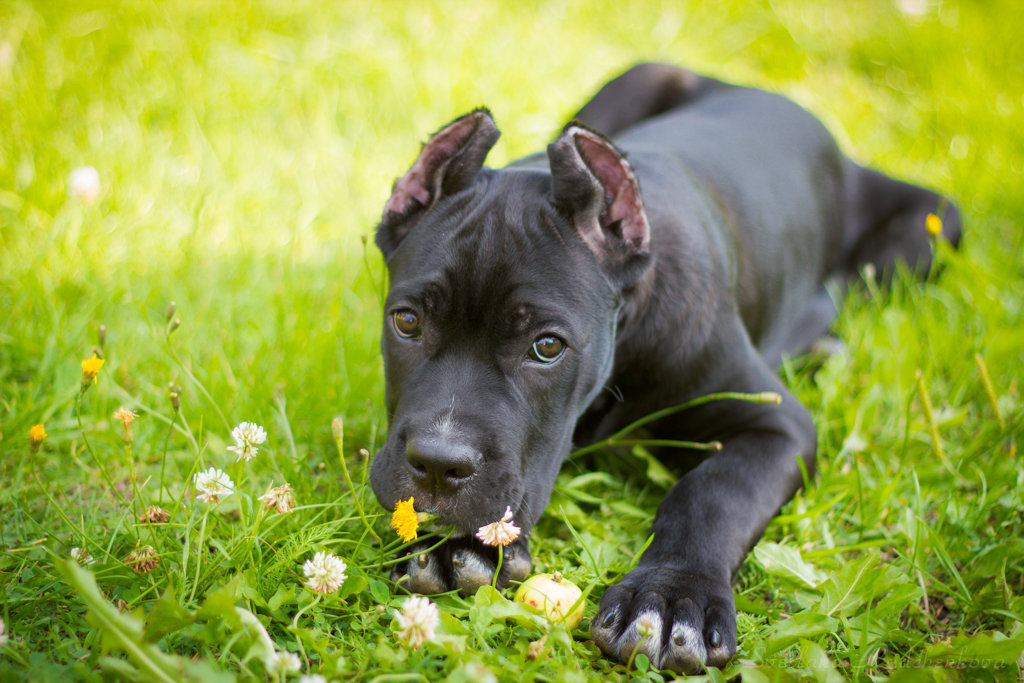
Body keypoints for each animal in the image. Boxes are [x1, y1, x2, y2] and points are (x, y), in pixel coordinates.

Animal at [368, 63, 958, 671]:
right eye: (407, 322)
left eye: (547, 347)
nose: (438, 465)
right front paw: (453, 544)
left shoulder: (776, 423)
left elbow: (713, 492)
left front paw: (672, 597)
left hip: (932, 227)